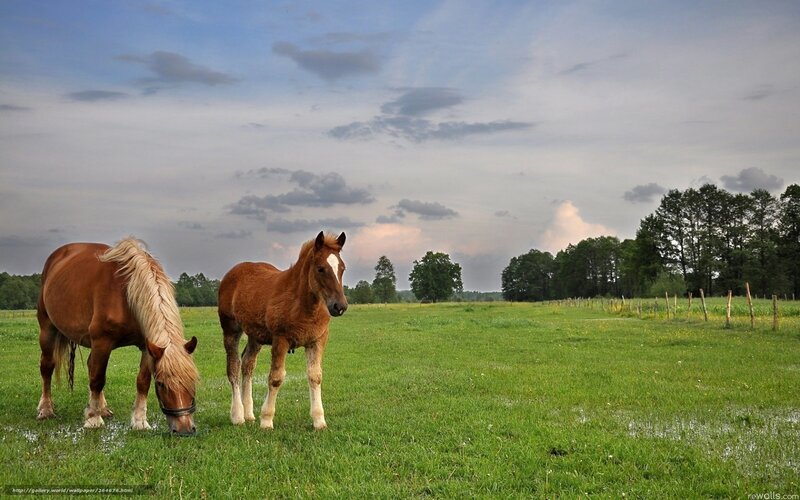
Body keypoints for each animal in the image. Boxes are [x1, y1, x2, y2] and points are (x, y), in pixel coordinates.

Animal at [36, 238, 200, 436]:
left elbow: (142, 382)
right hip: (48, 330)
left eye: (193, 381)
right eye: (161, 384)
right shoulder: (102, 342)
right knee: (47, 367)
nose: (185, 429)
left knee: (90, 366)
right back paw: (46, 409)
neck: (127, 293)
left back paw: (102, 408)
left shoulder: (147, 347)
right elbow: (98, 379)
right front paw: (93, 419)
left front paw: (139, 421)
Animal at [218, 231, 348, 430]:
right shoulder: (281, 340)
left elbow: (315, 376)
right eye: (320, 268)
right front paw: (266, 420)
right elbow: (276, 377)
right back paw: (238, 415)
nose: (340, 306)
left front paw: (319, 420)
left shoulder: (317, 340)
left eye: (342, 268)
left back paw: (249, 414)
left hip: (255, 335)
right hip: (230, 328)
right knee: (233, 367)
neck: (303, 305)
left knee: (248, 364)